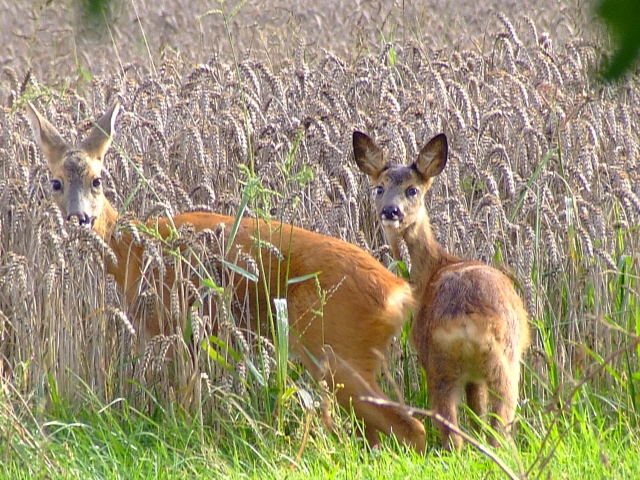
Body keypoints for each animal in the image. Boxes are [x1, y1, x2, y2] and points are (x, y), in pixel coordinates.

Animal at [25, 101, 428, 450]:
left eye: (97, 179)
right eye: (55, 183)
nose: (79, 218)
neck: (130, 248)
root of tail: (400, 293)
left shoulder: (174, 322)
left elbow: (185, 396)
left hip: (335, 347)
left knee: (410, 426)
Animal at [352, 130, 528, 450]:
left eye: (412, 190)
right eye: (379, 188)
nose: (390, 211)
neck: (434, 270)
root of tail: (468, 322)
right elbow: (477, 413)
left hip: (448, 363)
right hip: (489, 364)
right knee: (486, 426)